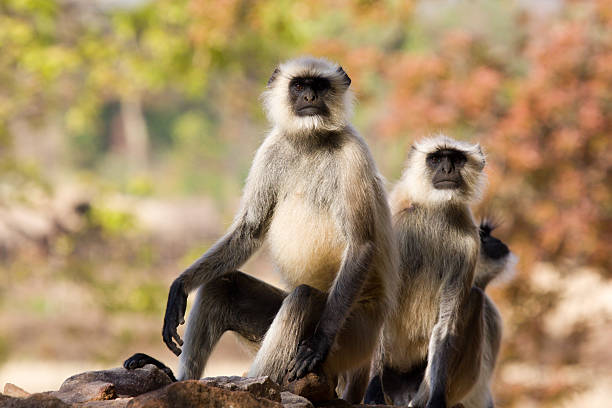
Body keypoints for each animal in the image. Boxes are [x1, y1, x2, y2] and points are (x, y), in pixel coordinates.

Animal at [125, 55, 402, 404]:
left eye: (320, 85)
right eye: (299, 85)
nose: (309, 97)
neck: (310, 141)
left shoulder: (354, 154)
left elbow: (362, 243)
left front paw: (318, 342)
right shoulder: (273, 147)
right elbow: (251, 229)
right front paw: (180, 286)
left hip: (353, 336)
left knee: (302, 298)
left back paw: (257, 385)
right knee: (224, 285)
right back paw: (178, 378)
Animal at [364, 137, 516, 408]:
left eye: (456, 159)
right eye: (435, 159)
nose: (447, 169)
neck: (436, 213)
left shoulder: (468, 246)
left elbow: (445, 327)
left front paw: (436, 399)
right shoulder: (399, 227)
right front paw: (373, 391)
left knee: (473, 297)